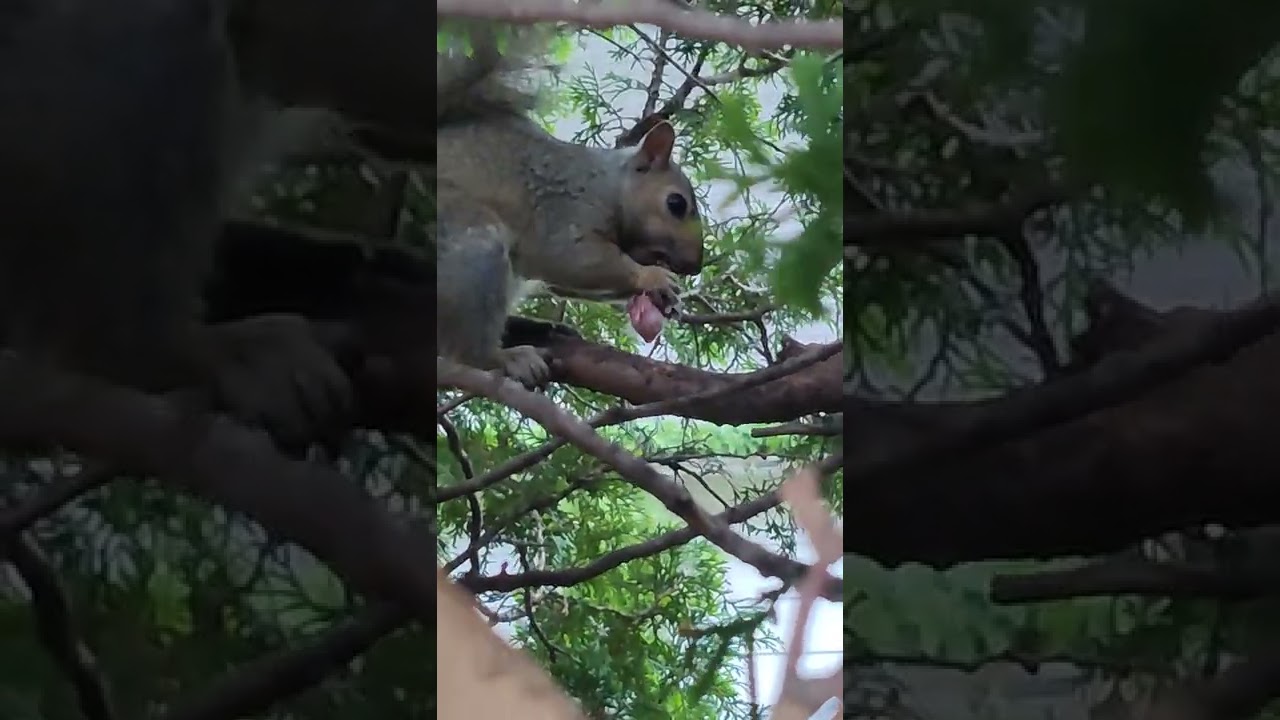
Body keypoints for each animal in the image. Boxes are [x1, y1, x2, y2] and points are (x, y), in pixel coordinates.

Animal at [435, 25, 706, 388]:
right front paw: (652, 278)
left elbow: (567, 283)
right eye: (675, 204)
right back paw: (506, 357)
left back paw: (535, 328)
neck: (607, 186)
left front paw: (667, 297)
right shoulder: (565, 213)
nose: (695, 265)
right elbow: (577, 261)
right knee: (465, 350)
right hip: (469, 241)